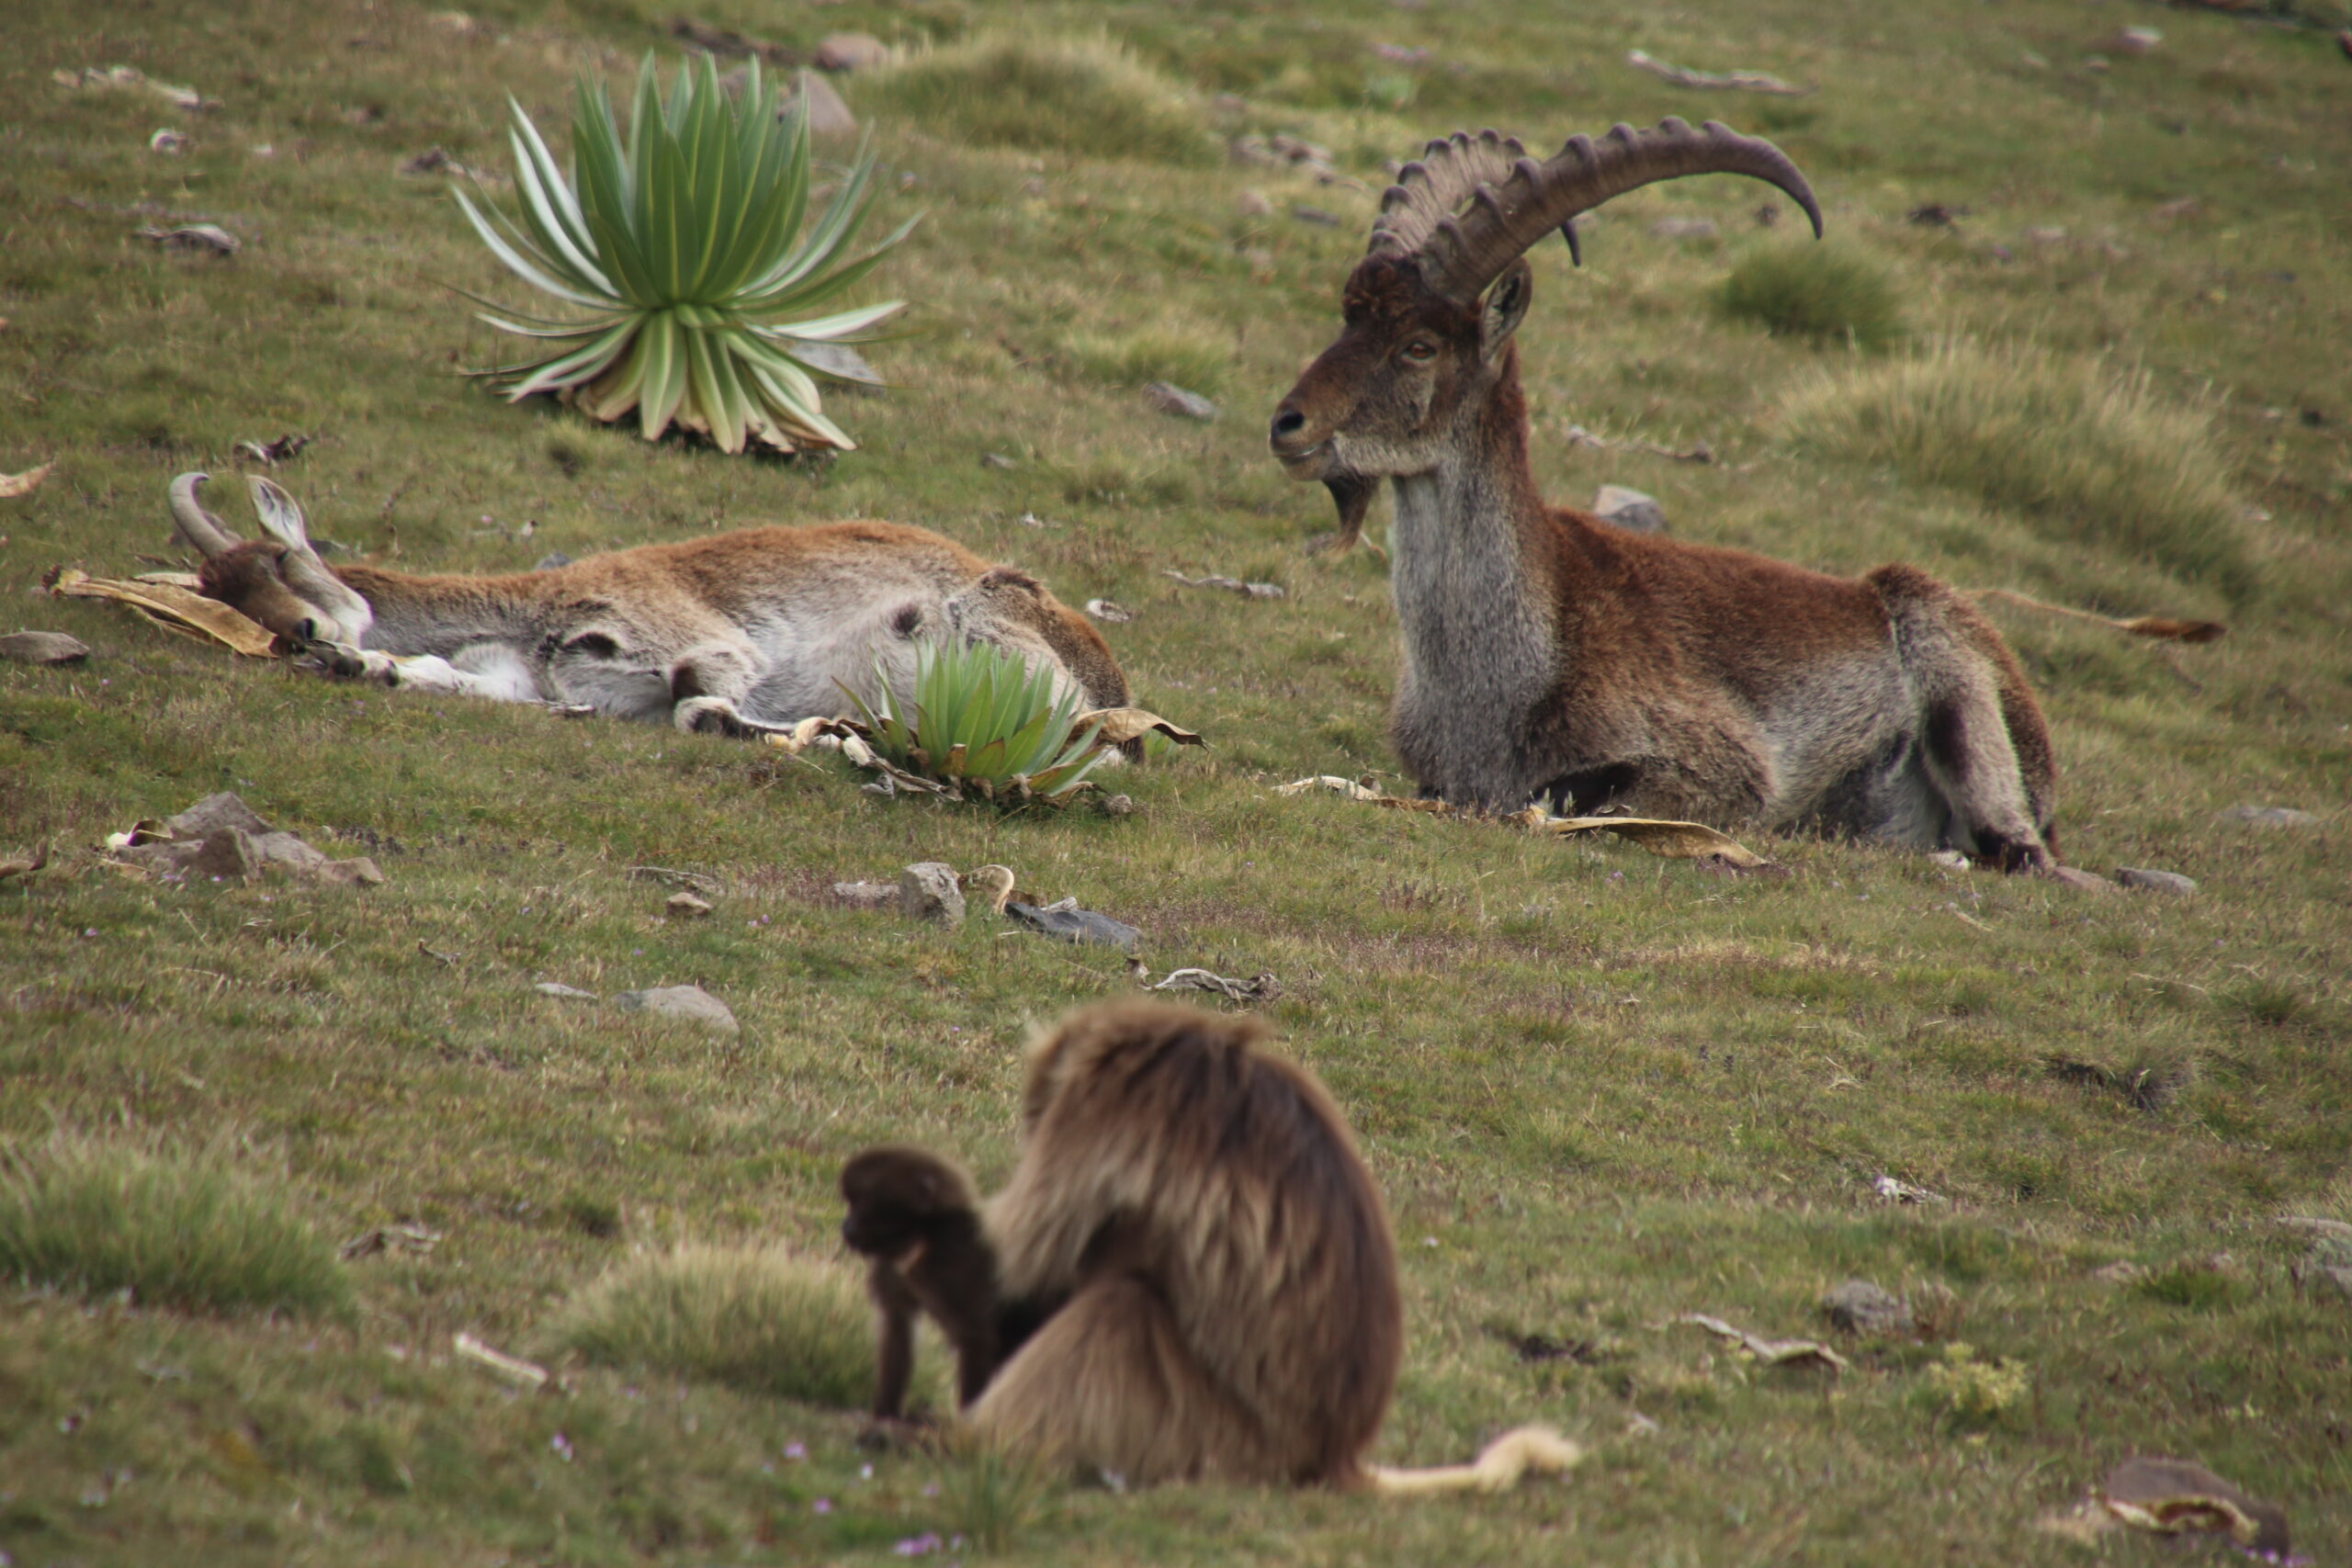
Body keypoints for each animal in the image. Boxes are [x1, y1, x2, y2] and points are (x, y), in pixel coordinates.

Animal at [956, 998, 1582, 1492]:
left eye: (1038, 1116)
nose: (1029, 1126)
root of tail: (1333, 1453)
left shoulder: (1098, 1112)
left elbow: (1025, 1259)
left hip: (1218, 1434)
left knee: (1119, 1310)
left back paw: (970, 1443)